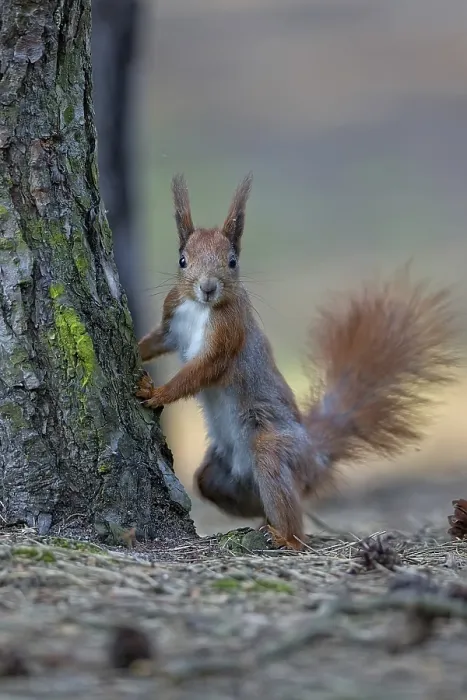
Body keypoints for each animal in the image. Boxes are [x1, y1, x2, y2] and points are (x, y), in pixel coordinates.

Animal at [136, 173, 459, 551]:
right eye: (182, 260)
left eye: (232, 261)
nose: (208, 287)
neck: (199, 308)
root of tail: (315, 457)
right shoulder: (172, 322)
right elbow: (157, 340)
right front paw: (138, 352)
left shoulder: (227, 337)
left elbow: (200, 371)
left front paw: (157, 393)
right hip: (219, 475)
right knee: (230, 487)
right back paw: (263, 520)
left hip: (274, 449)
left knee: (292, 510)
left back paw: (284, 536)